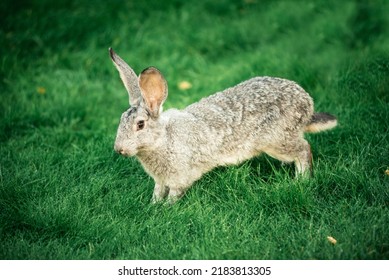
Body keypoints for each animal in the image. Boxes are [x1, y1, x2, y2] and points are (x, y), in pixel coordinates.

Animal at [108, 48, 336, 203]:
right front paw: (153, 205)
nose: (119, 149)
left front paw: (165, 209)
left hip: (276, 140)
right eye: (120, 120)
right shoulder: (161, 180)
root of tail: (307, 104)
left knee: (304, 149)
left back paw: (301, 181)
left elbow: (174, 194)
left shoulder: (180, 177)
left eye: (140, 125)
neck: (163, 139)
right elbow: (157, 192)